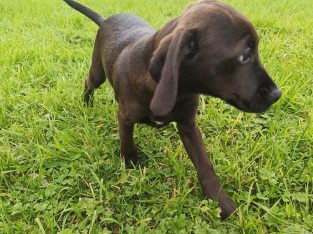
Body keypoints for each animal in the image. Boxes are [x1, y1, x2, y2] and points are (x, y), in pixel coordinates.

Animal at [64, 0, 282, 219]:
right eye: (244, 56)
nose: (277, 94)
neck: (176, 89)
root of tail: (105, 19)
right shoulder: (124, 117)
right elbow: (127, 143)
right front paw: (132, 163)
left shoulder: (189, 125)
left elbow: (204, 164)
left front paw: (220, 200)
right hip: (98, 72)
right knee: (89, 82)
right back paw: (87, 104)